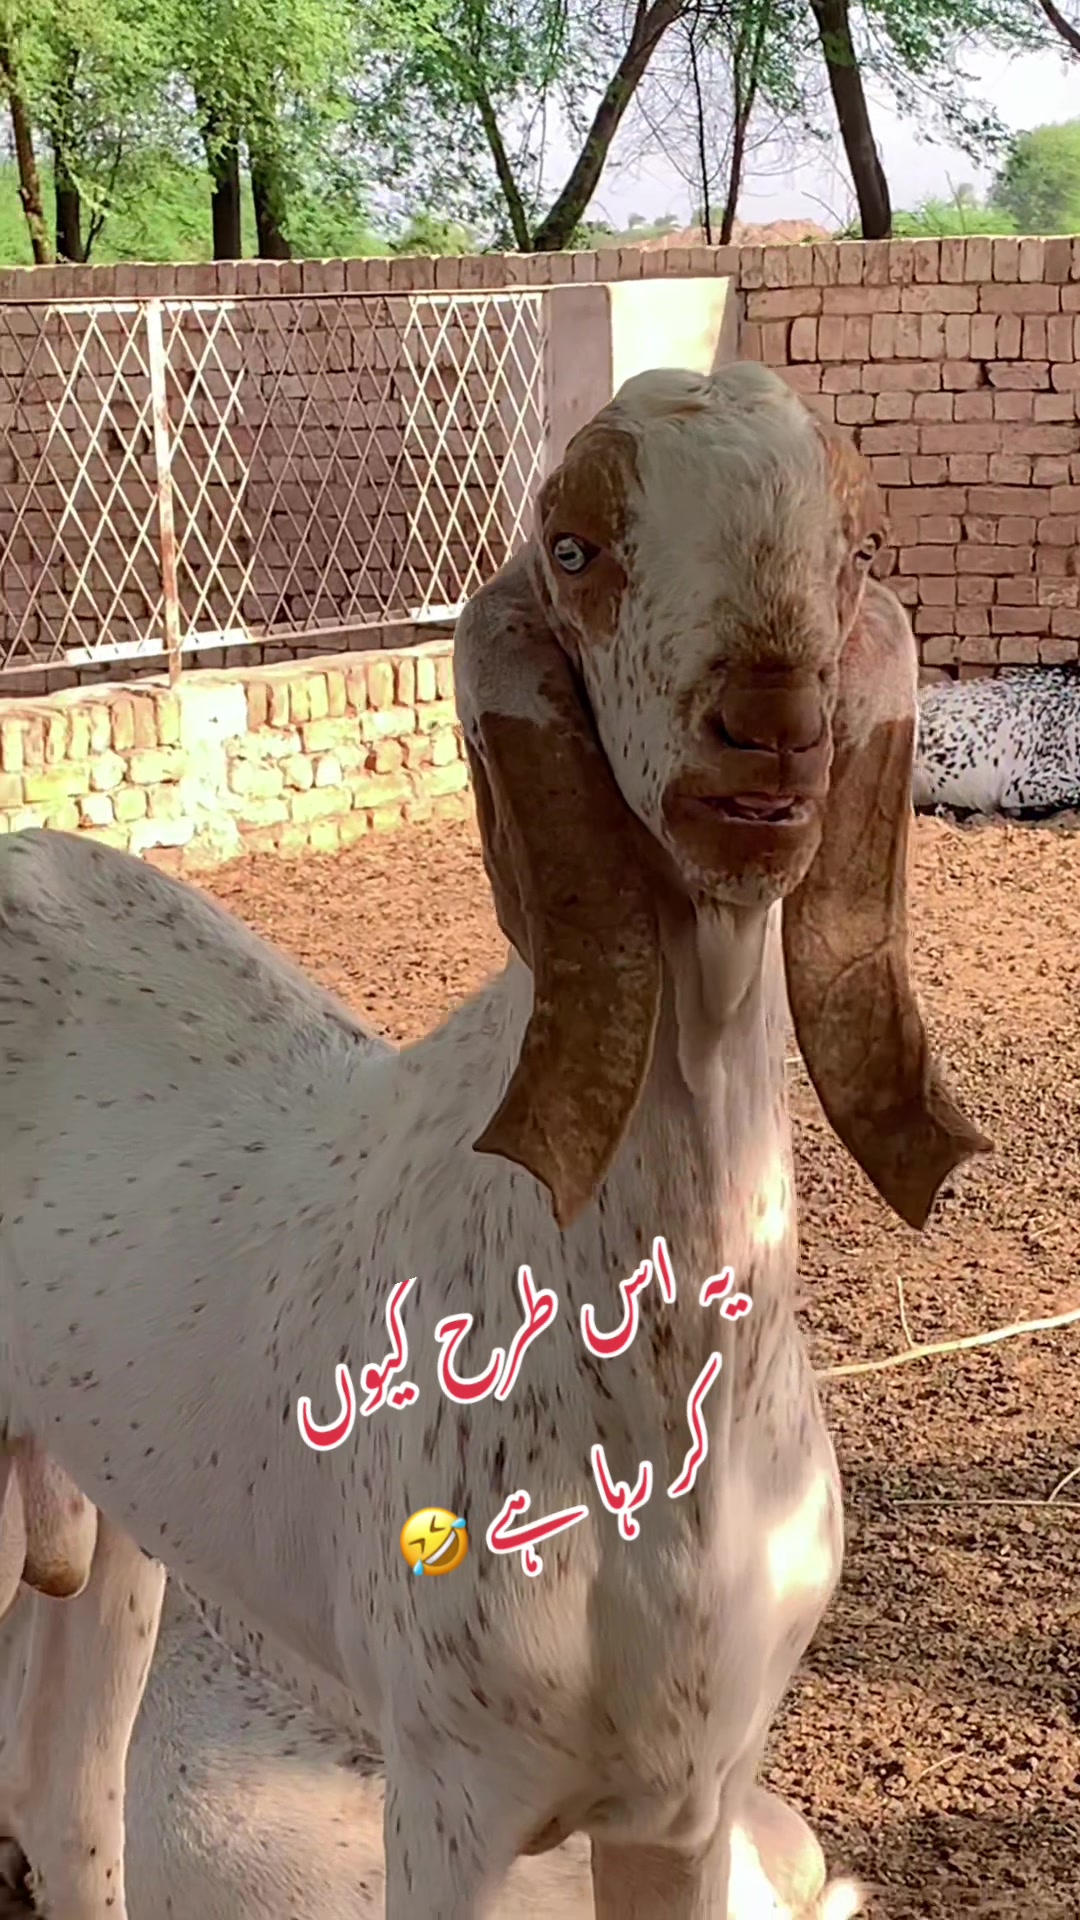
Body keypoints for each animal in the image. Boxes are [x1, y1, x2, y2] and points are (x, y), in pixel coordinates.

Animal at [0, 360, 989, 1919]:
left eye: (856, 551)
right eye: (575, 551)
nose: (773, 732)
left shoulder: (688, 1799)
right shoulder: (448, 1792)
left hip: (107, 1513)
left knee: (65, 1790)